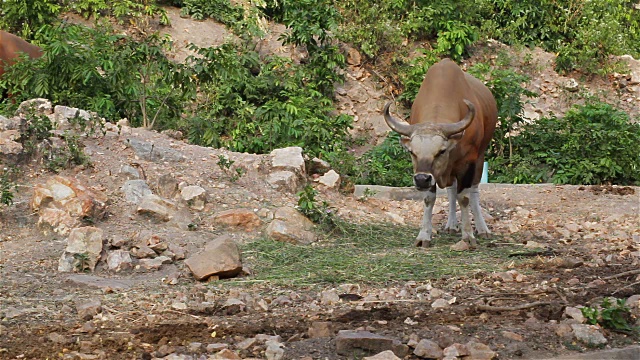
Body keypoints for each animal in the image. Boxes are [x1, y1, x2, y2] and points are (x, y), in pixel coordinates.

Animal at [382, 58, 498, 248]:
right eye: (412, 152)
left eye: (441, 151)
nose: (421, 179)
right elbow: (430, 199)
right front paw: (424, 236)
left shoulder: (468, 163)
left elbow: (464, 197)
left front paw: (468, 236)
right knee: (451, 190)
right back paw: (451, 225)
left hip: (480, 158)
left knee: (474, 191)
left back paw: (482, 229)